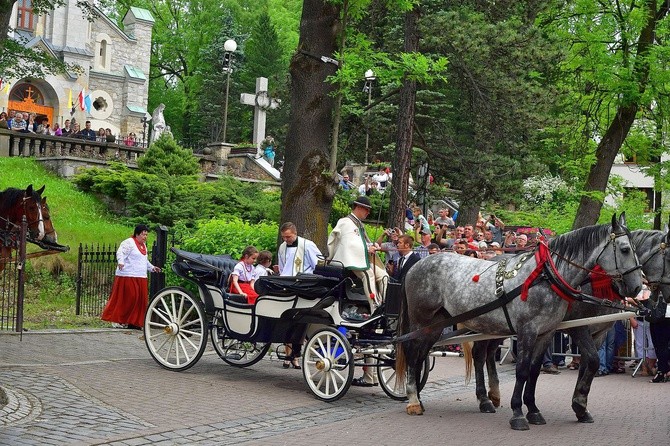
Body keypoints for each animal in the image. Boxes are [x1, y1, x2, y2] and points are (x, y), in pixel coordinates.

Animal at [400, 214, 644, 430]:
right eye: (625, 249)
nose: (637, 287)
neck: (545, 276)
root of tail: (418, 264)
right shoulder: (531, 330)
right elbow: (523, 370)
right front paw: (518, 413)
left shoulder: (547, 333)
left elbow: (535, 370)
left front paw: (534, 410)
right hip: (422, 320)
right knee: (413, 352)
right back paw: (413, 400)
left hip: (442, 323)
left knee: (430, 355)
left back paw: (435, 399)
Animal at [468, 226, 670, 426]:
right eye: (668, 257)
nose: (637, 289)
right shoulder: (578, 328)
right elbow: (593, 360)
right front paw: (579, 404)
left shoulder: (599, 332)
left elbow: (588, 364)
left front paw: (581, 405)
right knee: (479, 354)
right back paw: (484, 399)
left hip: (498, 325)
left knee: (489, 352)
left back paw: (494, 394)